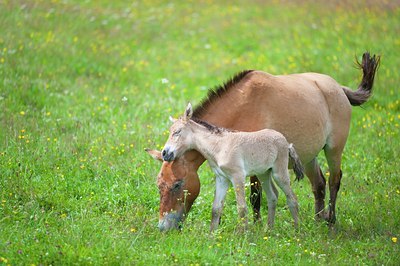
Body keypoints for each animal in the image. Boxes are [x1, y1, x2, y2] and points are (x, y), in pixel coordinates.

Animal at [162, 103, 304, 230]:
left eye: (177, 132)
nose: (165, 153)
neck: (219, 146)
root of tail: (286, 142)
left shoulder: (237, 176)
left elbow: (242, 208)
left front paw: (243, 235)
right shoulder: (222, 178)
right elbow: (216, 208)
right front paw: (212, 235)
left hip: (279, 173)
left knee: (292, 198)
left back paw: (298, 231)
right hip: (263, 173)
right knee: (272, 197)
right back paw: (269, 230)